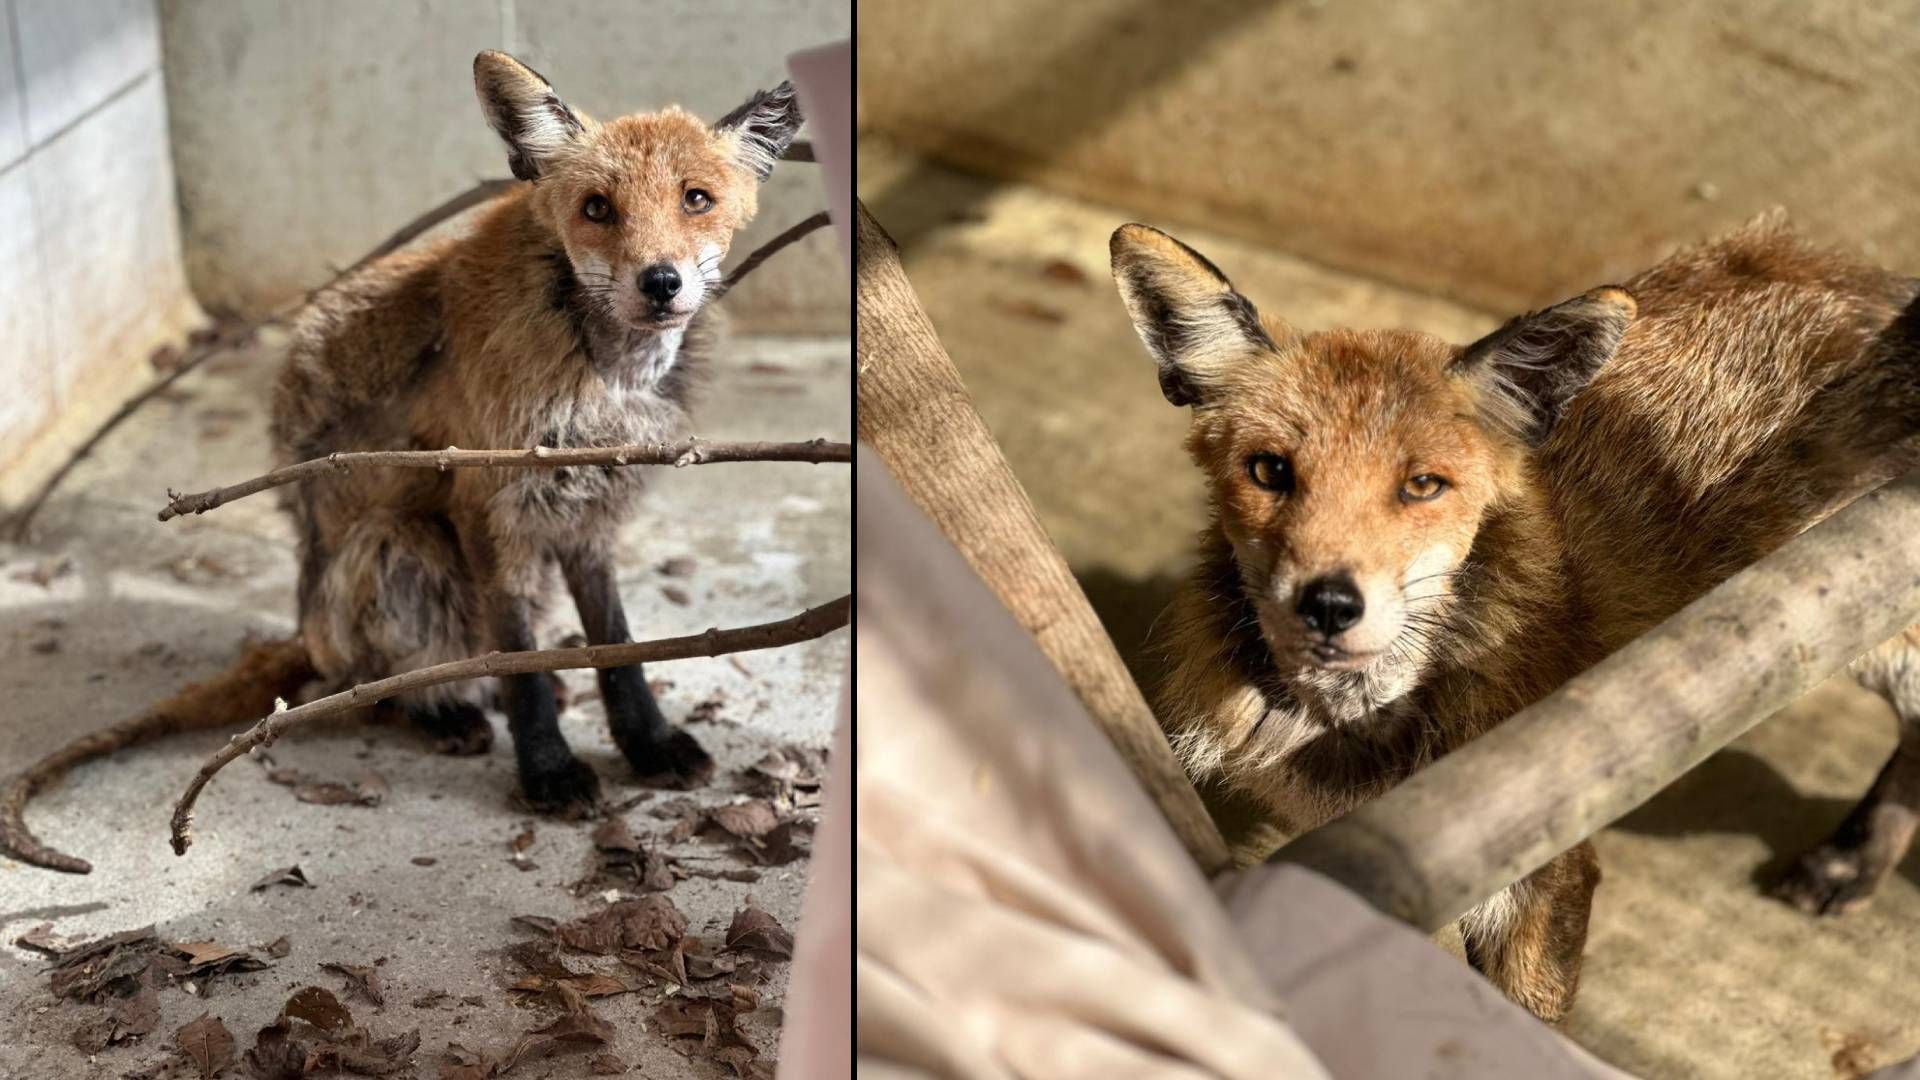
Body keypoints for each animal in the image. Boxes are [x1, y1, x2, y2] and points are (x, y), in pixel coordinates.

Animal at [0, 51, 803, 873]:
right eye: (598, 208)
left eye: (696, 199)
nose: (662, 282)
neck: (602, 376)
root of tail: (305, 626)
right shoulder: (489, 506)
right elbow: (519, 661)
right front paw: (546, 771)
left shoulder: (589, 516)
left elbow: (621, 649)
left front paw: (648, 744)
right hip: (402, 547)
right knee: (379, 682)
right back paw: (440, 712)